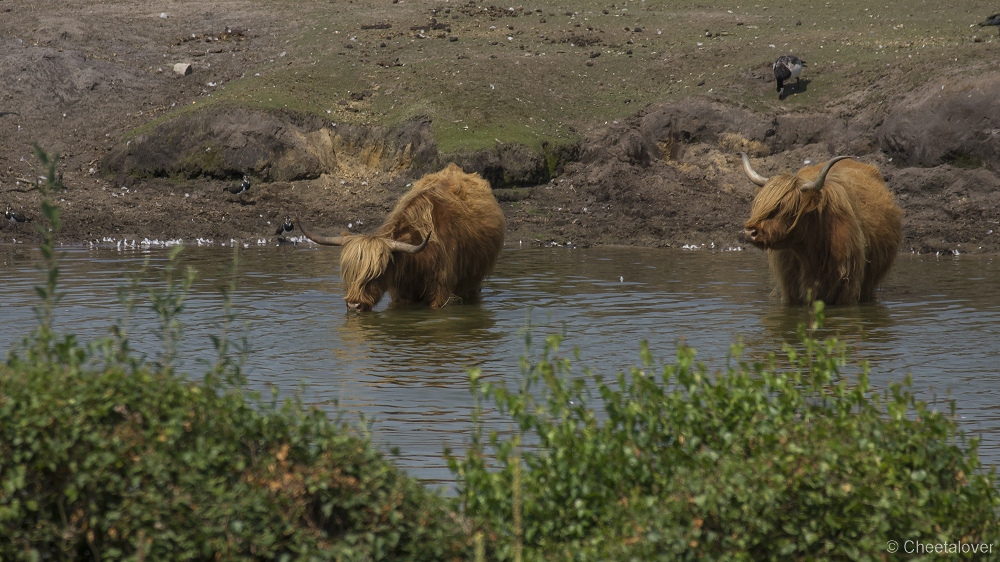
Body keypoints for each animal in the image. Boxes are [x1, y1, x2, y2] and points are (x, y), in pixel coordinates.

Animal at [292, 162, 504, 310]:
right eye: (349, 273)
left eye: (376, 275)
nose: (354, 305)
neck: (418, 262)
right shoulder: (401, 294)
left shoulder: (441, 293)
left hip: (474, 282)